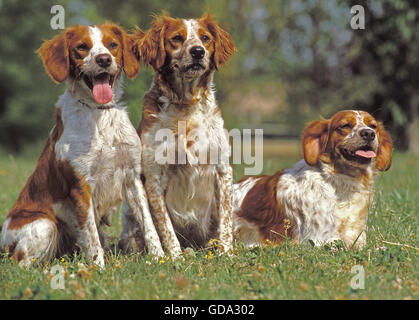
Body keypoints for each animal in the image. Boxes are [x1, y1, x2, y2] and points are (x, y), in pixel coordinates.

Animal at [0, 23, 164, 268]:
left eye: (112, 45)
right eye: (82, 47)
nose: (104, 59)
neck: (99, 113)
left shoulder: (132, 176)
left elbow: (149, 224)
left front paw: (161, 258)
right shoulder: (81, 185)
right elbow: (91, 235)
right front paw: (99, 268)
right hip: (44, 224)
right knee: (20, 264)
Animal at [118, 13, 236, 258]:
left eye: (205, 38)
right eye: (177, 38)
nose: (198, 51)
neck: (185, 106)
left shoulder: (222, 169)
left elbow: (226, 220)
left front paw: (227, 252)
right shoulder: (154, 177)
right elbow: (164, 225)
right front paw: (175, 256)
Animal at [235, 110, 392, 250]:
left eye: (373, 126)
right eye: (345, 125)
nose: (369, 133)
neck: (338, 181)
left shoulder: (356, 237)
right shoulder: (318, 240)